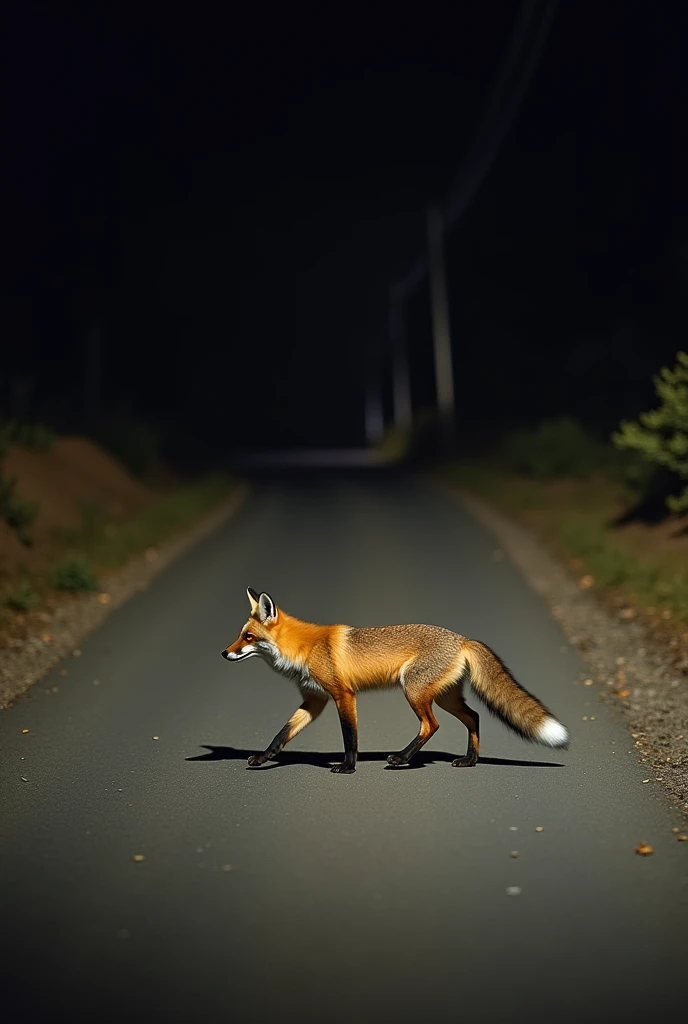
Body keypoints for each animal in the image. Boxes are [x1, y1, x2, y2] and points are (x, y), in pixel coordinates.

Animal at [222, 589, 569, 770]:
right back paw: (469, 761)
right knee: (474, 717)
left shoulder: (343, 695)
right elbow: (281, 735)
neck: (304, 649)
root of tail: (462, 638)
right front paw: (263, 758)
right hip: (445, 697)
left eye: (248, 637)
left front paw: (348, 767)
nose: (224, 653)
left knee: (432, 726)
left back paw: (402, 758)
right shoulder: (314, 700)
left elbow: (350, 737)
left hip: (414, 691)